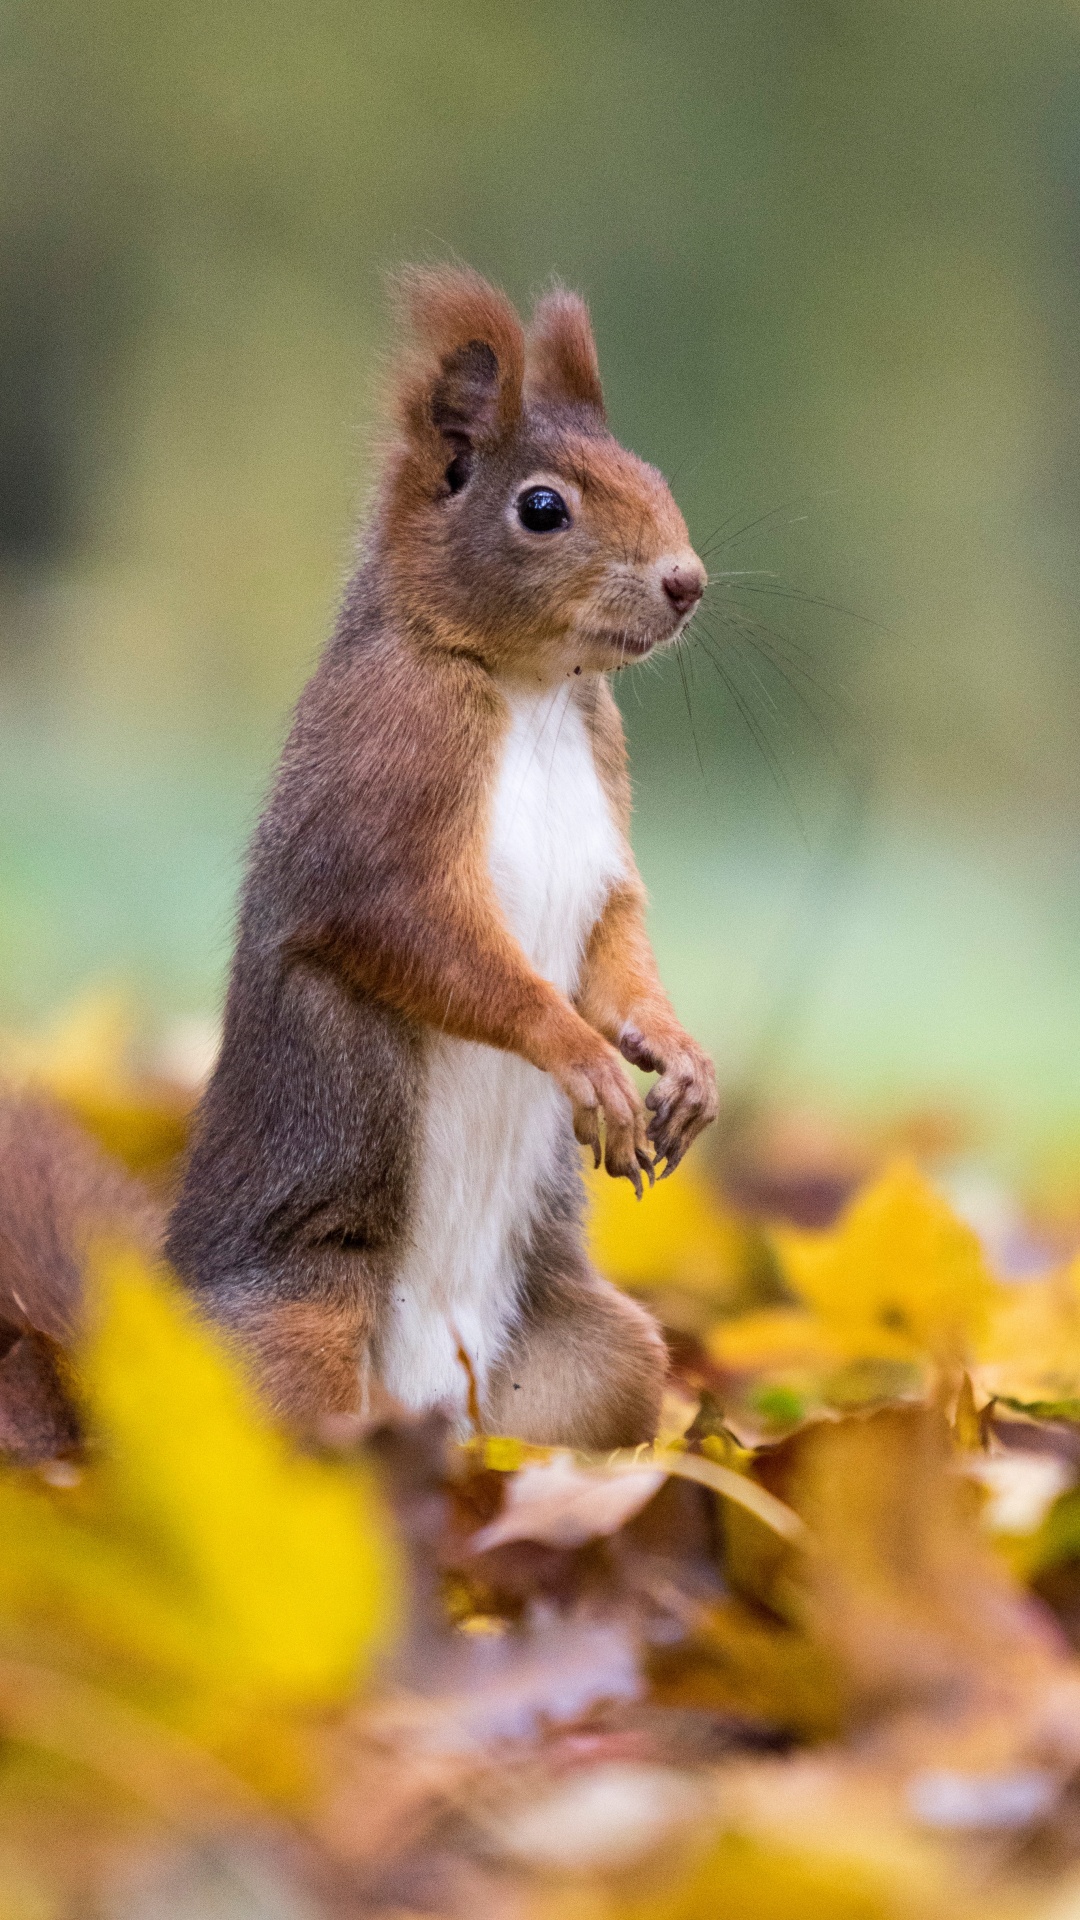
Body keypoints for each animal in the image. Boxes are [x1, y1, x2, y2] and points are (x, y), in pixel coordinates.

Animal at [147, 267, 718, 1450]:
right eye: (541, 507)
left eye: (653, 473)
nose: (687, 582)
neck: (534, 689)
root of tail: (429, 1415)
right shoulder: (390, 778)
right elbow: (420, 936)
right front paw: (582, 1056)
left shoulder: (606, 813)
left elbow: (619, 940)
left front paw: (679, 1057)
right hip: (291, 1340)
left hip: (599, 1361)